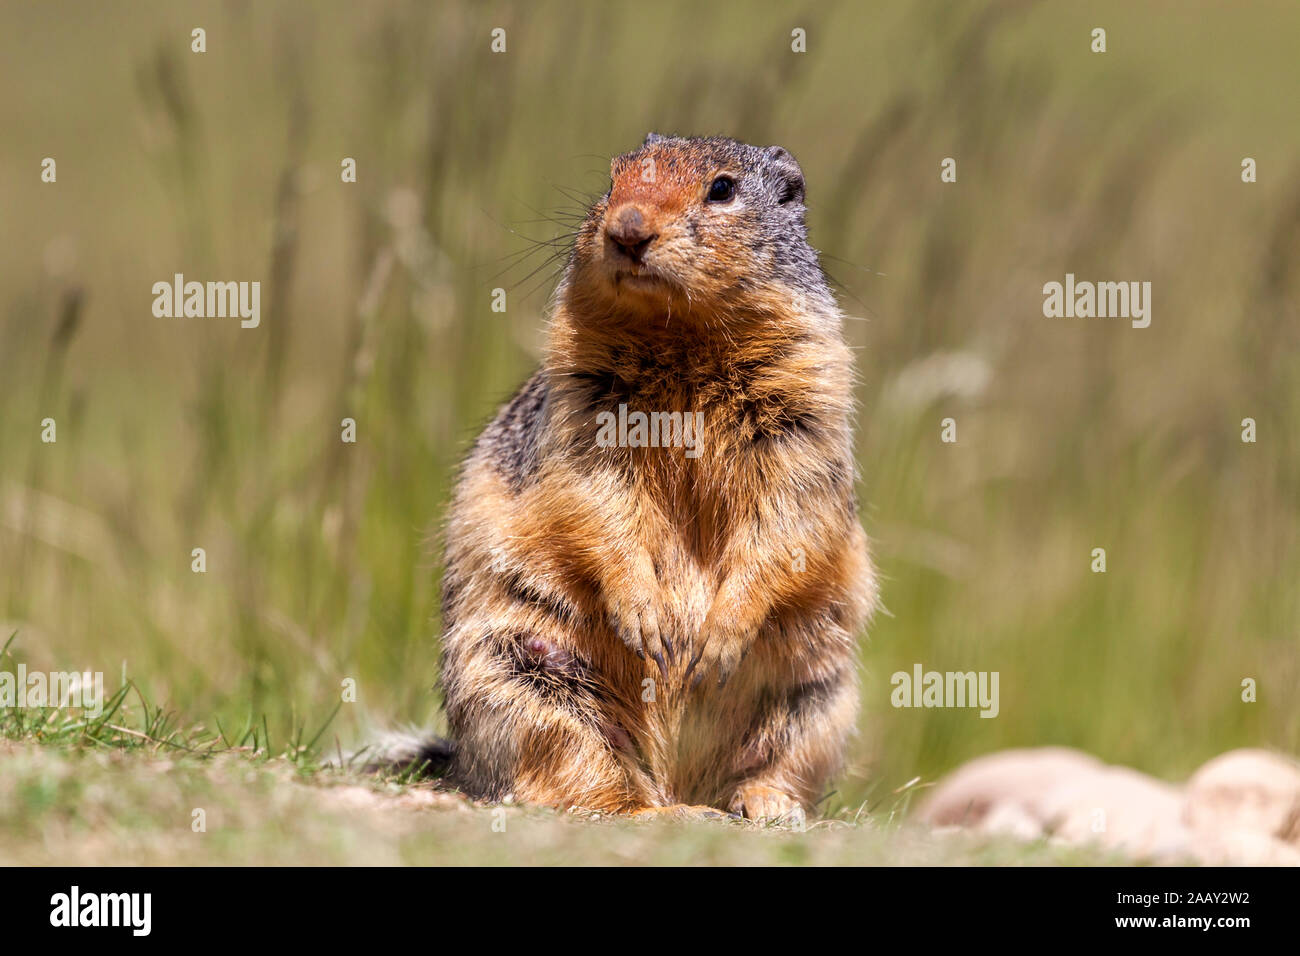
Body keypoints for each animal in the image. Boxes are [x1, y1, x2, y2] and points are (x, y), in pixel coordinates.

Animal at [390, 134, 873, 822]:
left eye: (722, 188)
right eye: (613, 178)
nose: (627, 228)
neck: (683, 339)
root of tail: (675, 776)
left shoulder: (806, 421)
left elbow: (790, 520)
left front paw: (715, 640)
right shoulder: (582, 421)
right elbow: (596, 504)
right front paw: (648, 618)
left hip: (818, 699)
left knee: (774, 762)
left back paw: (763, 803)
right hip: (526, 684)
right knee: (588, 783)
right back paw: (664, 811)